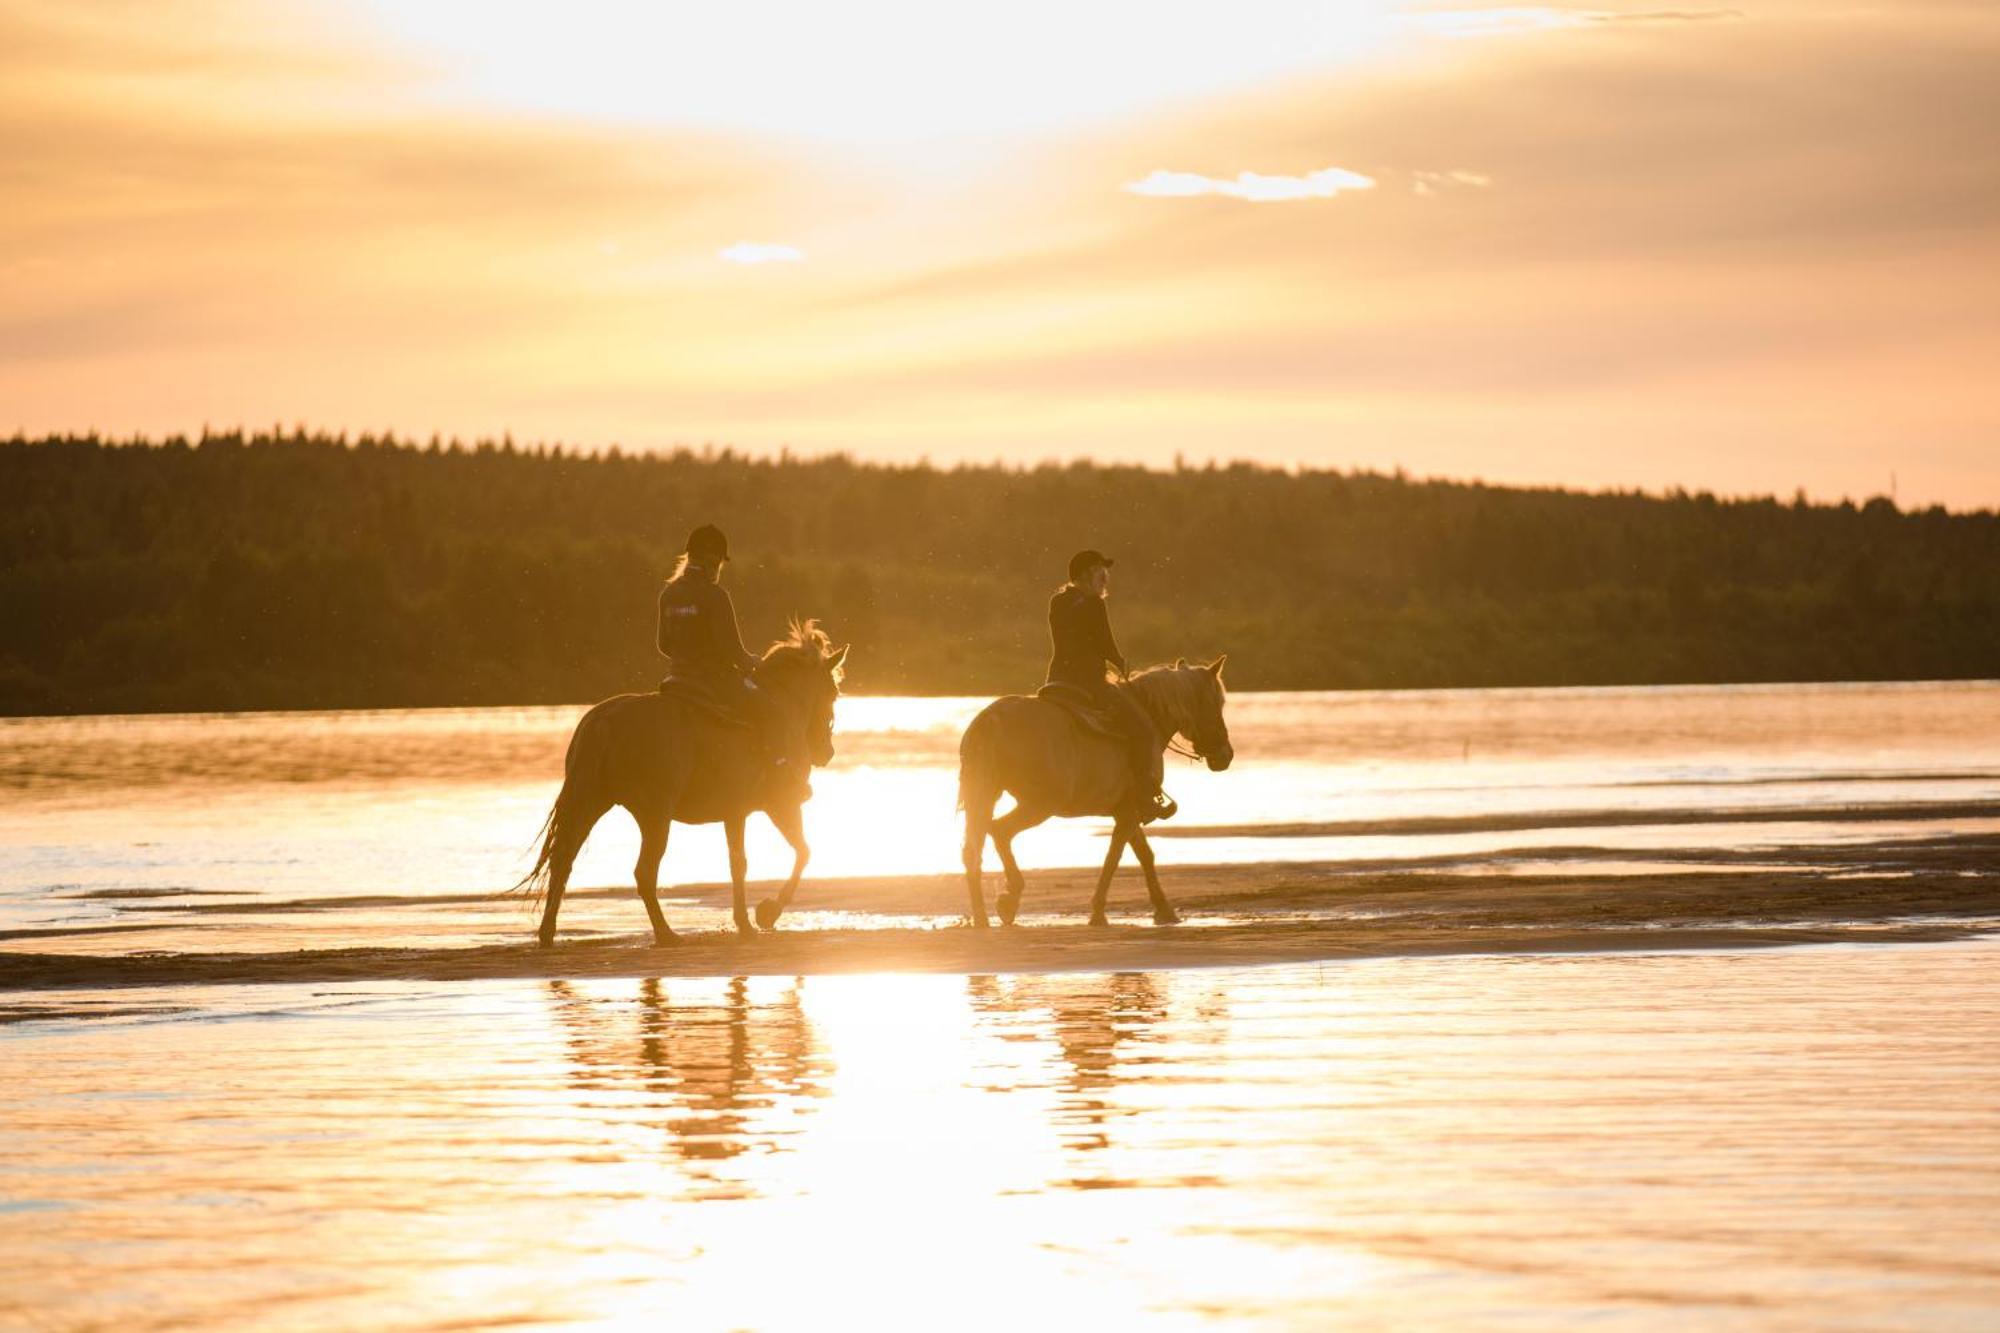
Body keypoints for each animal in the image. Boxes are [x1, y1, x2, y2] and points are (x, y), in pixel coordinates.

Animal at [516, 616, 844, 940]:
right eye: (833, 692)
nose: (826, 751)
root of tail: (605, 720)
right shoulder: (781, 805)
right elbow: (803, 852)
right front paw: (768, 911)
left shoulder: (735, 813)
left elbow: (738, 863)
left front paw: (745, 921)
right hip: (655, 815)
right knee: (643, 871)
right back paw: (665, 932)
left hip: (591, 804)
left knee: (563, 861)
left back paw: (547, 932)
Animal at [956, 652, 1224, 924]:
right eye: (1218, 703)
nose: (1225, 756)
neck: (1149, 713)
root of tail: (992, 719)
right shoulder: (1130, 812)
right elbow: (1115, 856)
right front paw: (1098, 911)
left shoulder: (1126, 809)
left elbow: (1143, 854)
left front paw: (1164, 909)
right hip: (1039, 805)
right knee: (999, 831)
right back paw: (1009, 899)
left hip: (985, 795)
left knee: (973, 850)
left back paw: (982, 917)